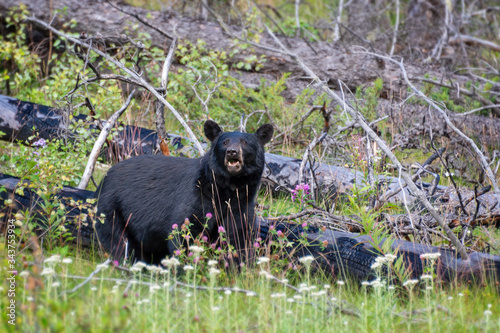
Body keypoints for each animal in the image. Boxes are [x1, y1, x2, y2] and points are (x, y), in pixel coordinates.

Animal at [94, 120, 274, 264]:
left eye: (244, 142)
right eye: (225, 142)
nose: (232, 151)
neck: (227, 188)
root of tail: (105, 178)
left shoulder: (241, 204)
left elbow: (239, 236)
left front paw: (242, 268)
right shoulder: (198, 195)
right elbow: (186, 230)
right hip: (113, 210)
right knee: (121, 242)